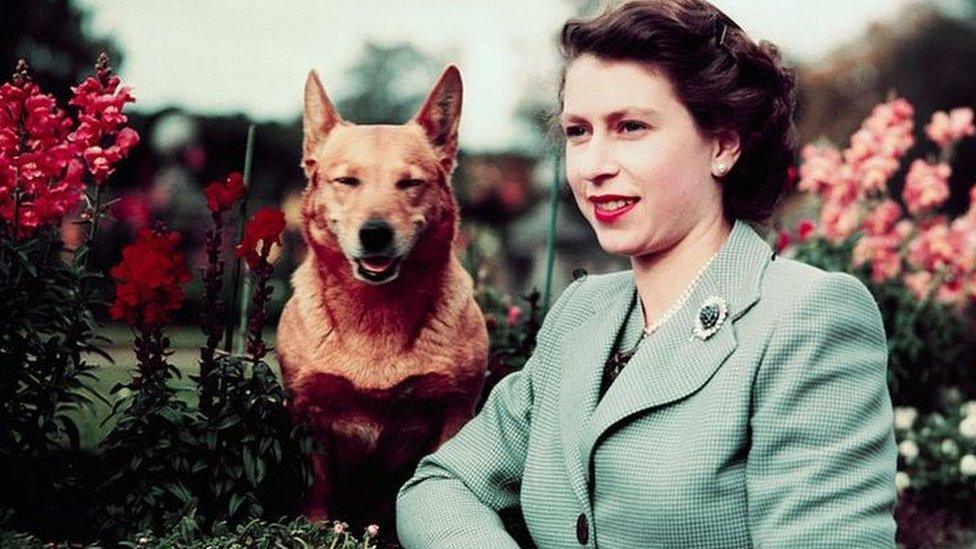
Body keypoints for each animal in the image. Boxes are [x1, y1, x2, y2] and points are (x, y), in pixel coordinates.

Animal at [274, 65, 488, 536]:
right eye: (346, 181)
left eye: (409, 183)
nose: (375, 233)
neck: (377, 315)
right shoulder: (309, 413)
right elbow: (317, 491)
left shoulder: (455, 410)